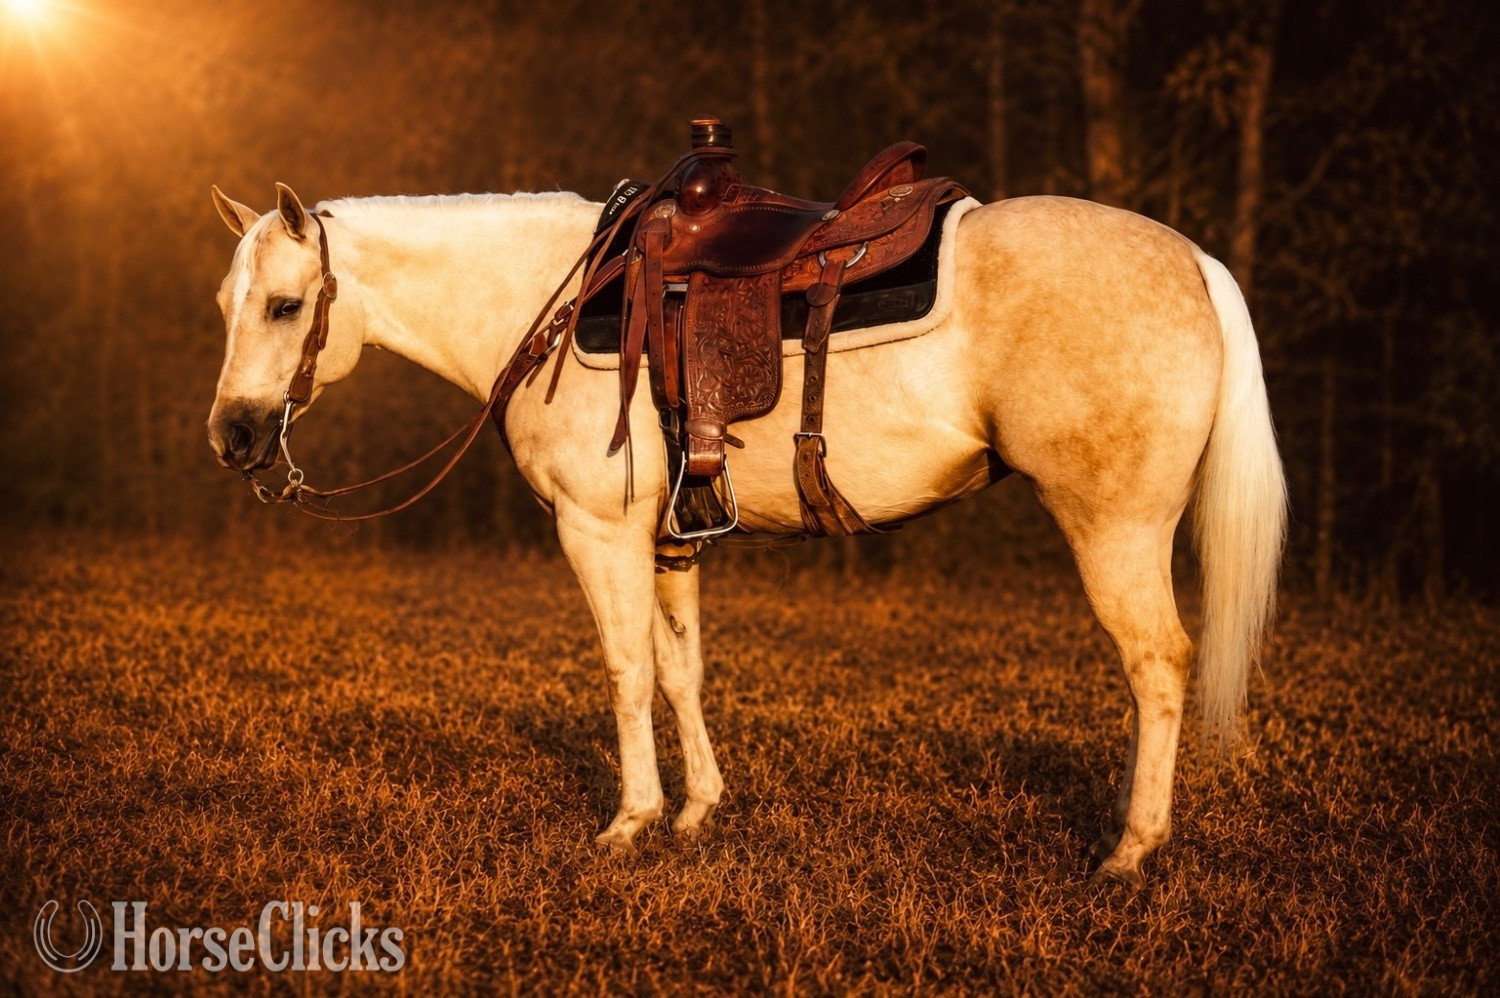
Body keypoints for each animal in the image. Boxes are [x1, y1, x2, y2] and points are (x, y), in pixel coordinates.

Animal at [206, 180, 1286, 887]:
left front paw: (632, 820)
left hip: (1115, 530)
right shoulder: (669, 540)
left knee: (1158, 663)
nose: (234, 436)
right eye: (227, 303)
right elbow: (680, 671)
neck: (556, 302)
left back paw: (1132, 849)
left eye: (287, 304)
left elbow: (627, 671)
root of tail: (1196, 262)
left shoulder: (600, 533)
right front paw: (698, 810)